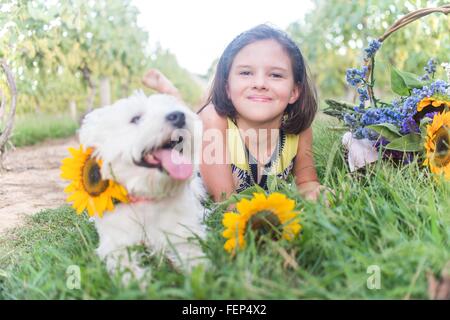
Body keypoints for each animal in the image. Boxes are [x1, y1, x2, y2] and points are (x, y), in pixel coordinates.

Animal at [78, 91, 207, 282]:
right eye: (136, 118)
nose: (179, 115)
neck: (147, 194)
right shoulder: (116, 242)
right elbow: (122, 262)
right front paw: (135, 280)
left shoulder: (180, 231)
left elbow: (190, 249)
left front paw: (198, 271)